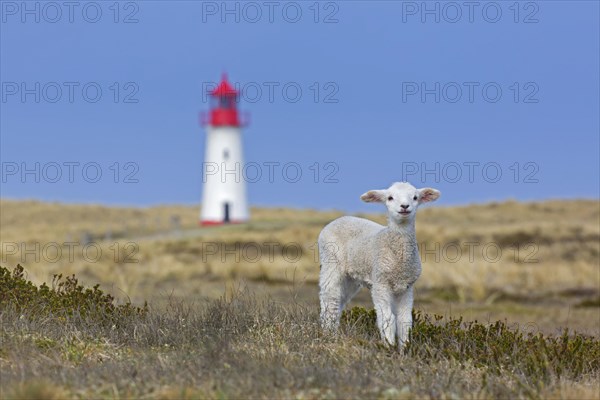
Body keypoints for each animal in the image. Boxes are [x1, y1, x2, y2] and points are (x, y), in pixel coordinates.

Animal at [318, 181, 440, 346]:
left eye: (415, 197)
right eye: (390, 197)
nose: (404, 206)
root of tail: (339, 219)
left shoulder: (406, 287)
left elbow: (404, 321)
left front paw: (405, 348)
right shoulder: (381, 284)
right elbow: (387, 319)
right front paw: (388, 346)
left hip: (351, 278)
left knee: (339, 301)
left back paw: (333, 333)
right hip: (331, 262)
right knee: (330, 299)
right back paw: (327, 334)